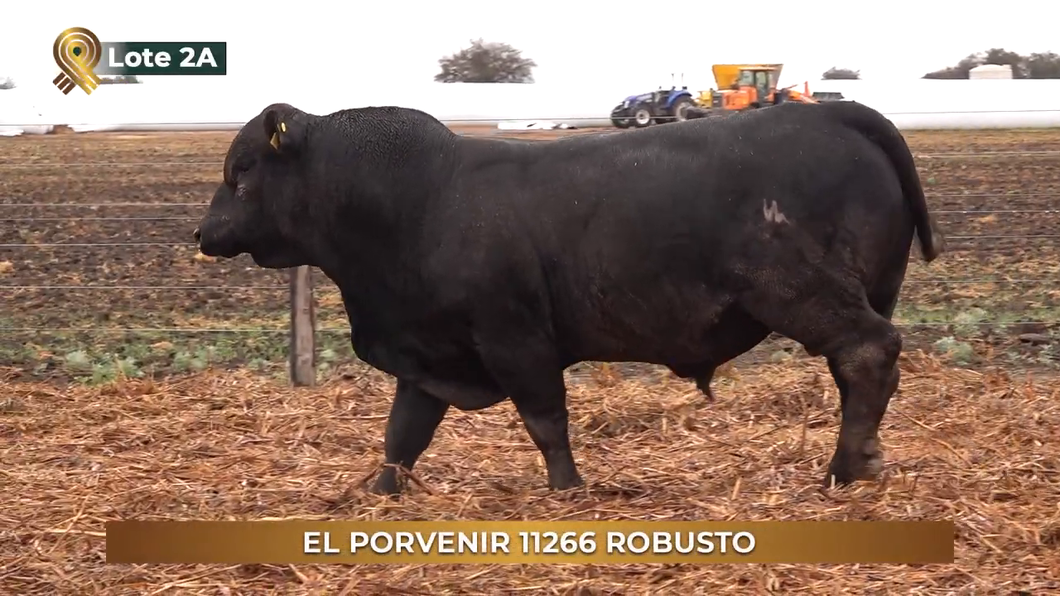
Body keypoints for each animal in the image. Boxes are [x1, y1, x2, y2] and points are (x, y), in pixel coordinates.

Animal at [194, 99, 944, 496]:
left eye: (242, 168)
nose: (203, 232)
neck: (419, 201)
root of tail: (828, 110)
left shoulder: (515, 338)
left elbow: (545, 420)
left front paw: (567, 489)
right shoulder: (429, 353)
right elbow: (402, 434)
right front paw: (377, 494)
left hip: (805, 293)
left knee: (868, 354)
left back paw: (845, 469)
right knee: (862, 370)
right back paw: (863, 459)